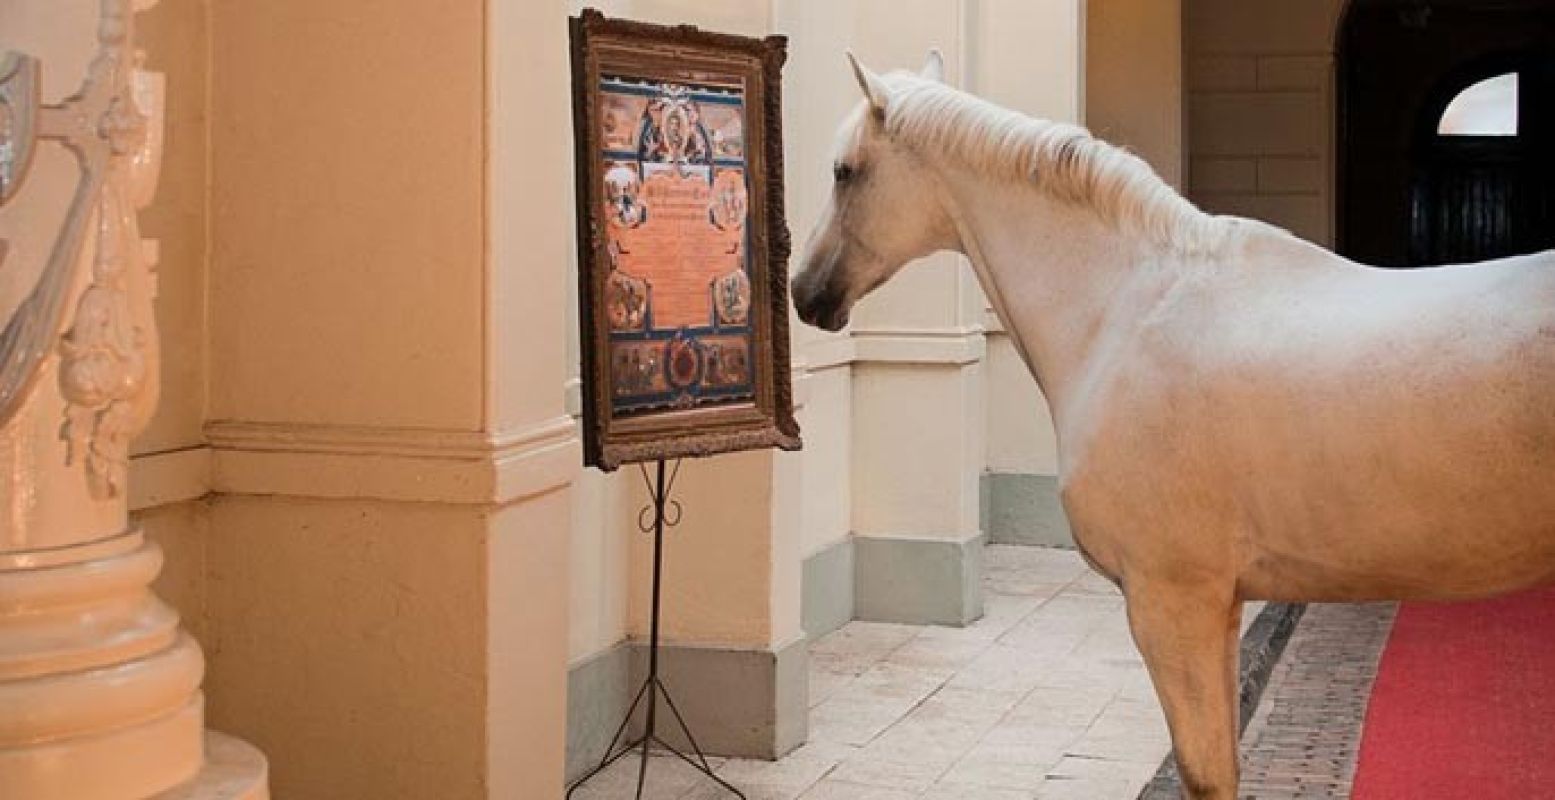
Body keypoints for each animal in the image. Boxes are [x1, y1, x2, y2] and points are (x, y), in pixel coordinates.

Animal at [796, 51, 1555, 796]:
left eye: (844, 171)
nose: (805, 294)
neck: (1127, 309)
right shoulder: (1221, 606)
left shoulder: (1172, 604)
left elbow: (1204, 774)